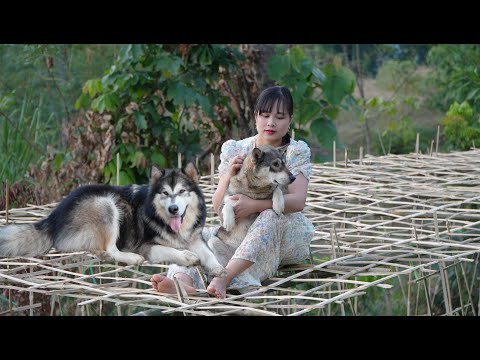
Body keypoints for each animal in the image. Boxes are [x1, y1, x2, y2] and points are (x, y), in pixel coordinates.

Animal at [0, 163, 227, 276]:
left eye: (181, 191)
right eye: (165, 193)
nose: (173, 209)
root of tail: (54, 216)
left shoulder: (195, 238)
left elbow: (208, 253)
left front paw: (217, 267)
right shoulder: (146, 246)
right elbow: (170, 250)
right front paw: (186, 256)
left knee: (100, 251)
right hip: (106, 205)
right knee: (110, 248)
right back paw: (130, 258)